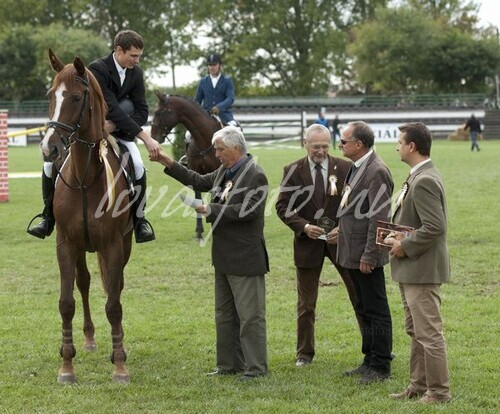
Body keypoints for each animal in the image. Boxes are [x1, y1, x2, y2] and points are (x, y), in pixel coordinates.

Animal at [40, 49, 133, 384]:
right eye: (50, 95)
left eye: (77, 98)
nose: (48, 149)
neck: (83, 177)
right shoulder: (65, 244)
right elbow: (66, 303)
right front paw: (66, 366)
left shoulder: (113, 246)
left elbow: (115, 304)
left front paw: (119, 366)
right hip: (81, 249)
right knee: (84, 283)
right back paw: (90, 338)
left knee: (114, 288)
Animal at [150, 93, 222, 240]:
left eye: (158, 112)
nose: (153, 137)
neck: (204, 141)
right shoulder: (196, 172)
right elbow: (198, 198)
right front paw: (199, 232)